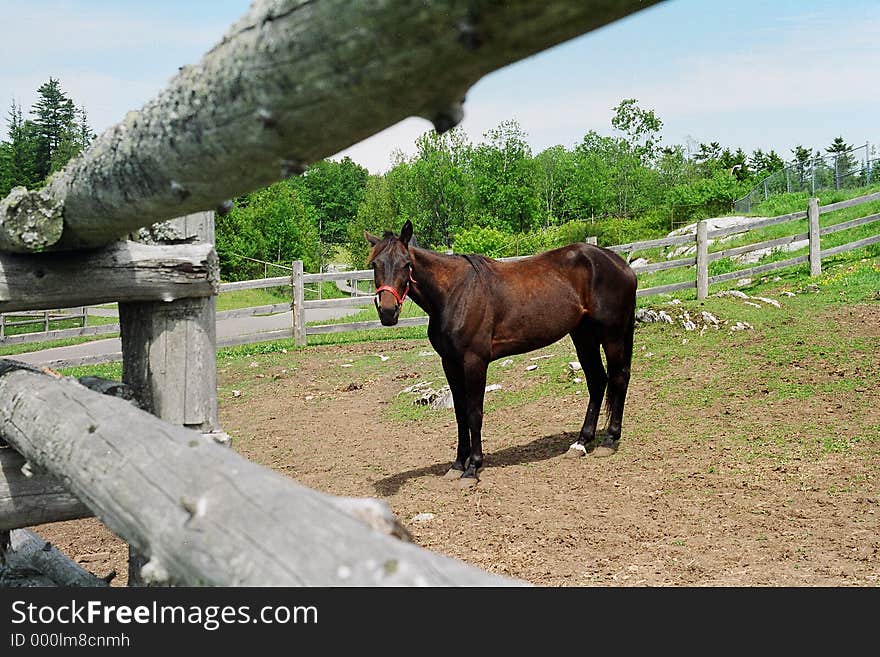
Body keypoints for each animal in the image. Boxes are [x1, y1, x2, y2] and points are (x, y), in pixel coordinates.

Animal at [368, 220, 636, 482]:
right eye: (375, 264)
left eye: (406, 264)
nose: (388, 312)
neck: (455, 293)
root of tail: (620, 264)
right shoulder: (450, 363)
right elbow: (460, 413)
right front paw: (457, 465)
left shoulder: (474, 361)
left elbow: (474, 412)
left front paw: (473, 468)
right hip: (583, 336)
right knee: (597, 381)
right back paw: (581, 443)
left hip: (612, 337)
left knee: (619, 378)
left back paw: (609, 440)